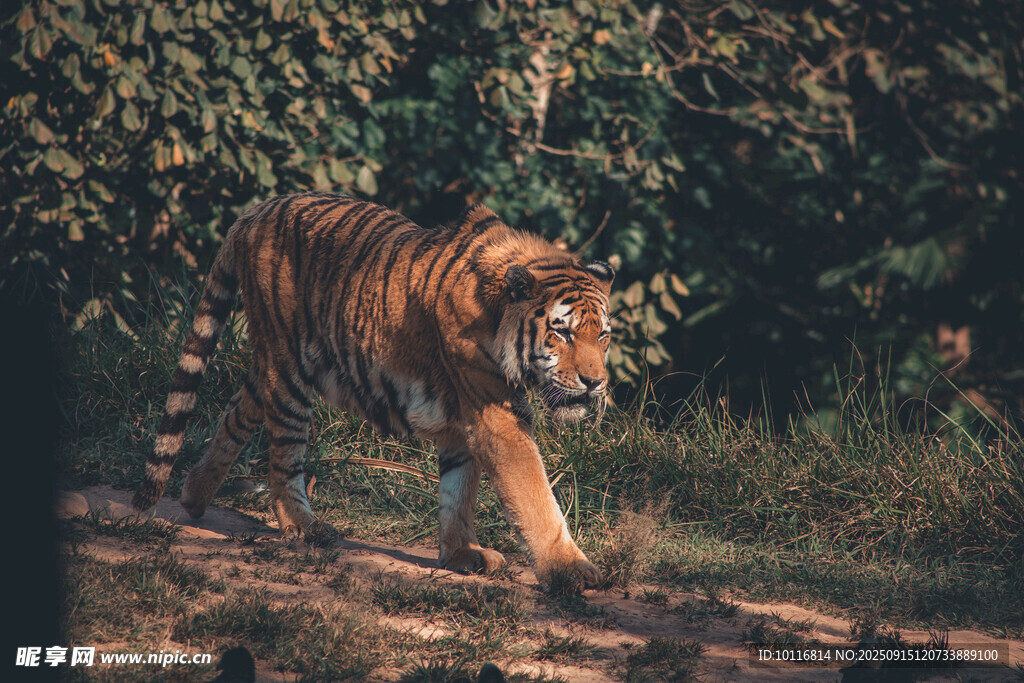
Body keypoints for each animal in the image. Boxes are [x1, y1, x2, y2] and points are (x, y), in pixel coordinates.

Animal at [132, 192, 614, 588]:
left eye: (603, 335)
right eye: (563, 333)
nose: (595, 383)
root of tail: (257, 210)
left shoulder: (463, 418)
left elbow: (458, 489)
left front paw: (462, 554)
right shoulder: (495, 415)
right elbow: (534, 495)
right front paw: (570, 570)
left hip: (271, 364)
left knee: (237, 412)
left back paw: (194, 495)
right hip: (289, 370)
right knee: (284, 455)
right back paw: (304, 527)